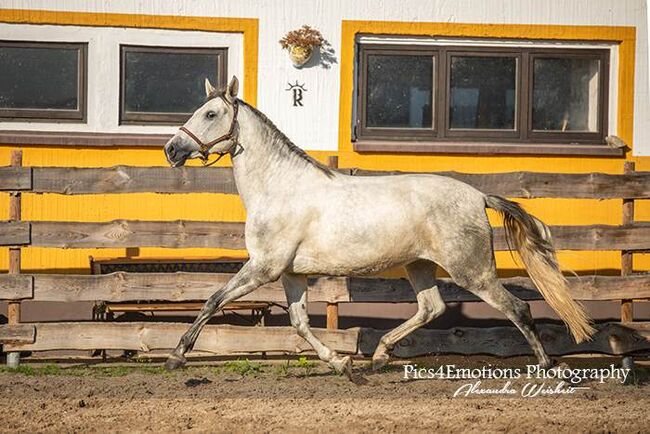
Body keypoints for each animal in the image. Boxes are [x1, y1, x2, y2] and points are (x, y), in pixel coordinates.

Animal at [162, 76, 592, 378]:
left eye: (211, 114)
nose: (172, 150)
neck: (279, 187)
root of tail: (477, 196)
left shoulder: (263, 268)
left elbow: (213, 300)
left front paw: (176, 356)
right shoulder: (290, 274)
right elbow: (299, 324)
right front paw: (343, 364)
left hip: (472, 271)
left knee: (518, 308)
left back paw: (548, 369)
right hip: (420, 266)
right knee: (432, 307)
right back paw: (380, 355)